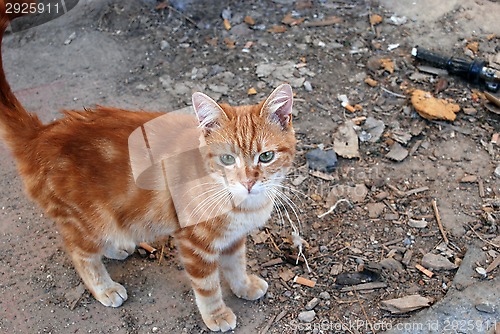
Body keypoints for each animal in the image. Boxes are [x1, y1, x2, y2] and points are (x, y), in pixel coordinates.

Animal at [0, 1, 296, 332]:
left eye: (266, 157)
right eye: (227, 159)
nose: (248, 181)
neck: (240, 203)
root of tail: (40, 134)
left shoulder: (233, 239)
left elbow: (236, 265)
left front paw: (244, 286)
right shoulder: (194, 243)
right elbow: (208, 286)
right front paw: (217, 314)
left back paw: (116, 246)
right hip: (88, 219)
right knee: (79, 251)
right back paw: (104, 287)